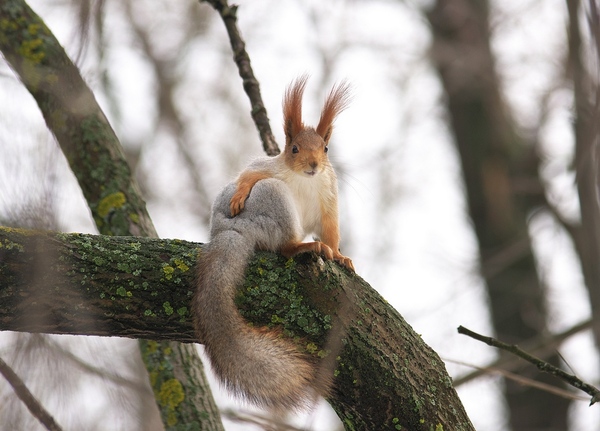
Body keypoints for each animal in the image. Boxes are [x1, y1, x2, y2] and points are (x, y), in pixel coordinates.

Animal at [192, 76, 354, 414]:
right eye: (294, 148)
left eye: (325, 148)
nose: (313, 164)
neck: (306, 179)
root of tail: (231, 230)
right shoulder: (267, 168)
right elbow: (248, 173)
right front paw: (240, 193)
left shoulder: (329, 198)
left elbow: (331, 231)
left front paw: (341, 256)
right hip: (274, 198)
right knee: (283, 245)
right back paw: (302, 247)